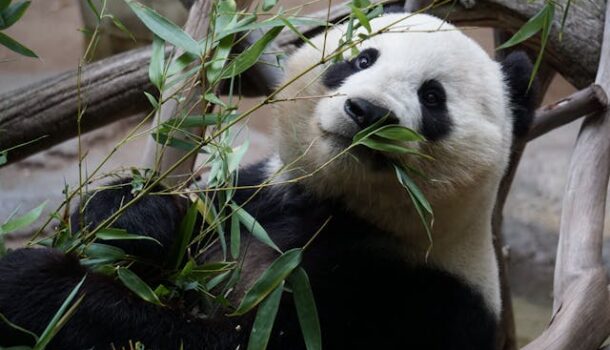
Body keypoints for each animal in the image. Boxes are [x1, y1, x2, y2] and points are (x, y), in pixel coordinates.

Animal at [0, 10, 532, 350]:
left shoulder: (409, 295)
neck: (340, 206)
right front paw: (136, 218)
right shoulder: (254, 198)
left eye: (433, 97)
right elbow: (178, 226)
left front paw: (33, 284)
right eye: (362, 58)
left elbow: (220, 340)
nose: (366, 112)